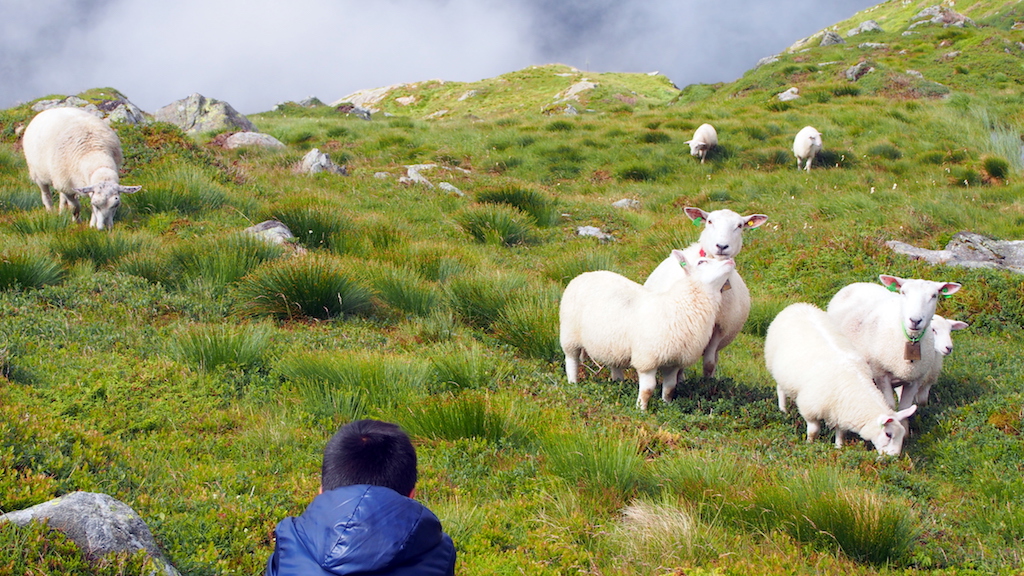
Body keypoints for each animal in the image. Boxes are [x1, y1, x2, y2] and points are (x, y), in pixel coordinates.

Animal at [561, 250, 737, 407]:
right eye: (701, 262)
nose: (730, 261)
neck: (680, 305)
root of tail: (584, 274)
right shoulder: (647, 359)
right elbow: (648, 389)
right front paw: (641, 409)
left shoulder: (674, 361)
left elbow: (670, 387)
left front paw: (667, 405)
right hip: (569, 335)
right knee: (571, 360)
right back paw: (573, 383)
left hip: (612, 344)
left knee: (614, 363)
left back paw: (618, 383)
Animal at [643, 206, 765, 377]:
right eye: (709, 221)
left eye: (740, 225)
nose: (722, 246)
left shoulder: (719, 328)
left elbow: (709, 364)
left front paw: (708, 381)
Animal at [765, 301, 917, 453]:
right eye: (888, 434)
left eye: (902, 435)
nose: (894, 456)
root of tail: (798, 305)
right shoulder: (809, 408)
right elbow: (813, 430)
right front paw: (810, 444)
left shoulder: (841, 411)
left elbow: (841, 432)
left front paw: (839, 447)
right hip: (775, 367)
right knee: (780, 389)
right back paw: (783, 410)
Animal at [823, 272, 958, 407]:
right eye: (903, 292)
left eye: (934, 295)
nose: (915, 320)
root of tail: (858, 283)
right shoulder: (880, 375)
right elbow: (890, 405)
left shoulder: (916, 379)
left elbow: (906, 407)